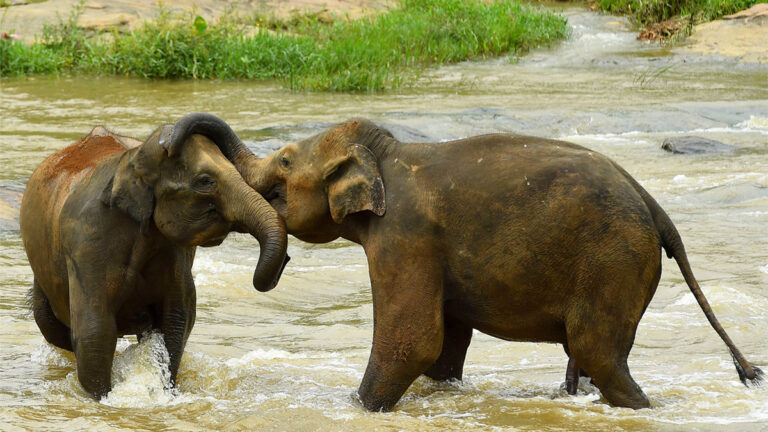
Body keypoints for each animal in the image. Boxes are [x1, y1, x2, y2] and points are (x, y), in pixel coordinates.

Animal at [20, 113, 288, 399]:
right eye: (205, 181)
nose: (283, 265)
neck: (133, 160)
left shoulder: (174, 254)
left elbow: (176, 321)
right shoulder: (86, 246)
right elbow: (95, 332)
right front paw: (105, 398)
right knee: (51, 326)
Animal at [164, 116, 763, 411]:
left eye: (286, 161)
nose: (169, 141)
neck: (386, 154)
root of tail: (655, 207)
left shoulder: (405, 236)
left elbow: (412, 340)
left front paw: (358, 408)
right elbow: (444, 347)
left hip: (615, 258)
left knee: (599, 353)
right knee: (592, 356)